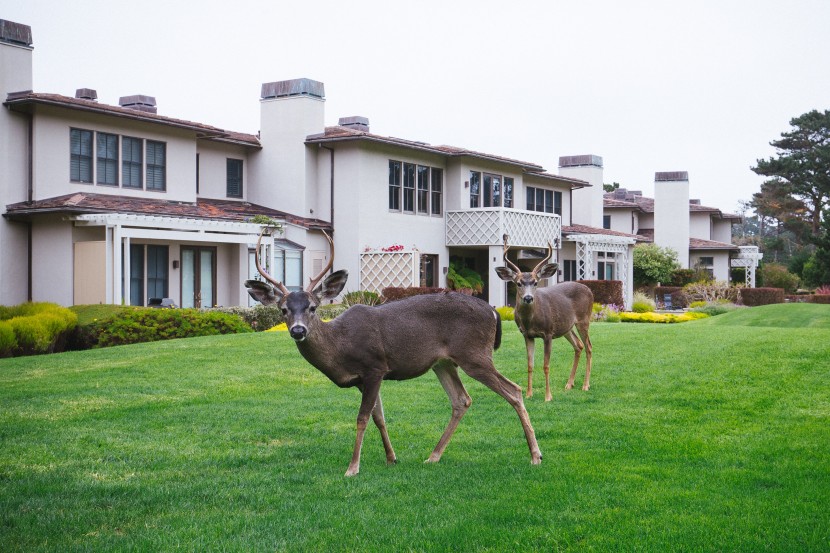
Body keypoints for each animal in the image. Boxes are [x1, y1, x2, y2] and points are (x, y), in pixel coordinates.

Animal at [245, 227, 544, 474]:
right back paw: (433, 456)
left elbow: (362, 418)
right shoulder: (364, 379)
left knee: (514, 390)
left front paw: (352, 467)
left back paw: (535, 455)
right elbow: (379, 417)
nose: (298, 330)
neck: (339, 347)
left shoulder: (374, 366)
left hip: (474, 354)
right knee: (462, 400)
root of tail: (494, 312)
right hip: (443, 362)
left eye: (312, 307)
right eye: (283, 310)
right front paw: (391, 458)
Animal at [498, 242, 596, 402]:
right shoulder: (527, 335)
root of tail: (589, 289)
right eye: (518, 283)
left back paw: (585, 385)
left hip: (584, 320)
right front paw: (528, 394)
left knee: (588, 346)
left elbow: (546, 365)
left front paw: (548, 396)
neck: (530, 321)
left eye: (535, 282)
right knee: (578, 345)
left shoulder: (548, 332)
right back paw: (569, 384)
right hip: (566, 327)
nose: (528, 298)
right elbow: (530, 365)